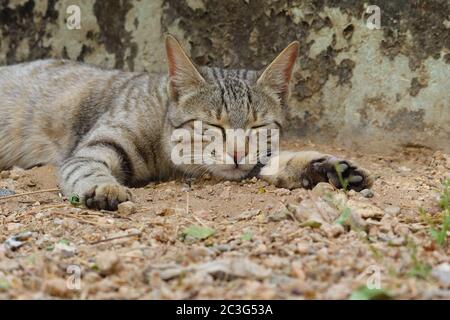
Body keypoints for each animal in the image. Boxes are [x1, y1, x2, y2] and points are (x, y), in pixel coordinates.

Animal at [0, 35, 372, 210]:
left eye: (257, 128)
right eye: (213, 126)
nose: (237, 154)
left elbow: (278, 160)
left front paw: (328, 168)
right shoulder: (91, 148)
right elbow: (86, 167)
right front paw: (103, 187)